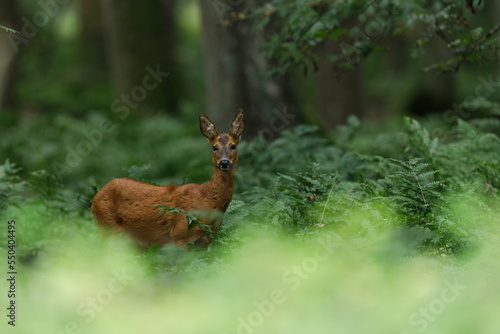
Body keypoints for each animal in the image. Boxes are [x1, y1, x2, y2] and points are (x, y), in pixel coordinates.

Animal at [91, 109, 246, 248]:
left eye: (233, 146)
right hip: (108, 227)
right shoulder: (179, 235)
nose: (224, 162)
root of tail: (94, 199)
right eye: (215, 147)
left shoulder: (206, 241)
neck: (207, 200)